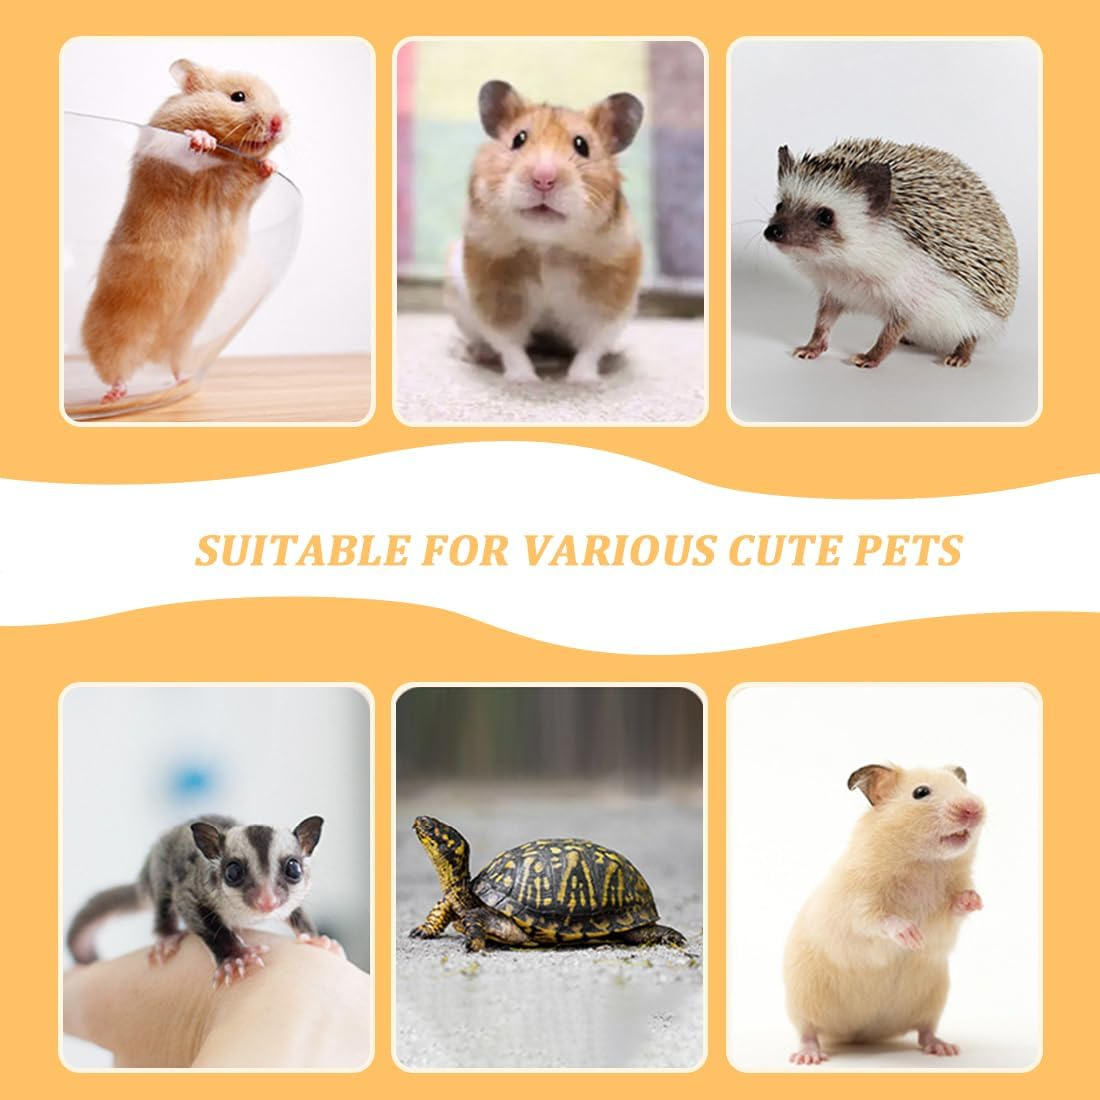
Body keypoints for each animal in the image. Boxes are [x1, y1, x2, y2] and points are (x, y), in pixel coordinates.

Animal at [66, 814, 335, 987]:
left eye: (293, 869)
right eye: (233, 872)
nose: (266, 901)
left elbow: (296, 912)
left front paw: (315, 939)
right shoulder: (195, 888)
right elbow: (189, 905)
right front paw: (235, 957)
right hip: (158, 867)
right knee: (164, 896)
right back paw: (167, 936)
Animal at [81, 59, 287, 404]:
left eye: (276, 98)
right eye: (238, 96)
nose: (278, 122)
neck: (229, 152)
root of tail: (151, 353)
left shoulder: (243, 193)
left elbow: (259, 178)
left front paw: (270, 164)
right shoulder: (161, 149)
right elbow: (185, 142)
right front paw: (203, 139)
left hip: (183, 337)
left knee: (173, 363)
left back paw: (181, 380)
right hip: (117, 336)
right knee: (113, 368)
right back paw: (115, 395)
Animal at [443, 79, 644, 382]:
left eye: (582, 145)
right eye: (519, 139)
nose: (544, 179)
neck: (548, 245)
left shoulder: (609, 297)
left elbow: (592, 347)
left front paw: (581, 381)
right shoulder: (496, 290)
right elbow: (509, 344)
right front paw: (524, 380)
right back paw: (472, 353)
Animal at [784, 764, 985, 1064]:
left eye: (962, 787)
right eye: (920, 792)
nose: (974, 808)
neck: (925, 863)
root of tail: (861, 1033)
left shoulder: (943, 919)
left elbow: (954, 910)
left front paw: (975, 900)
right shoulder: (857, 902)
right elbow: (877, 920)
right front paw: (911, 935)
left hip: (933, 997)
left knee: (925, 1030)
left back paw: (944, 1048)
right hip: (803, 996)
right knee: (808, 1030)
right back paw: (808, 1057)